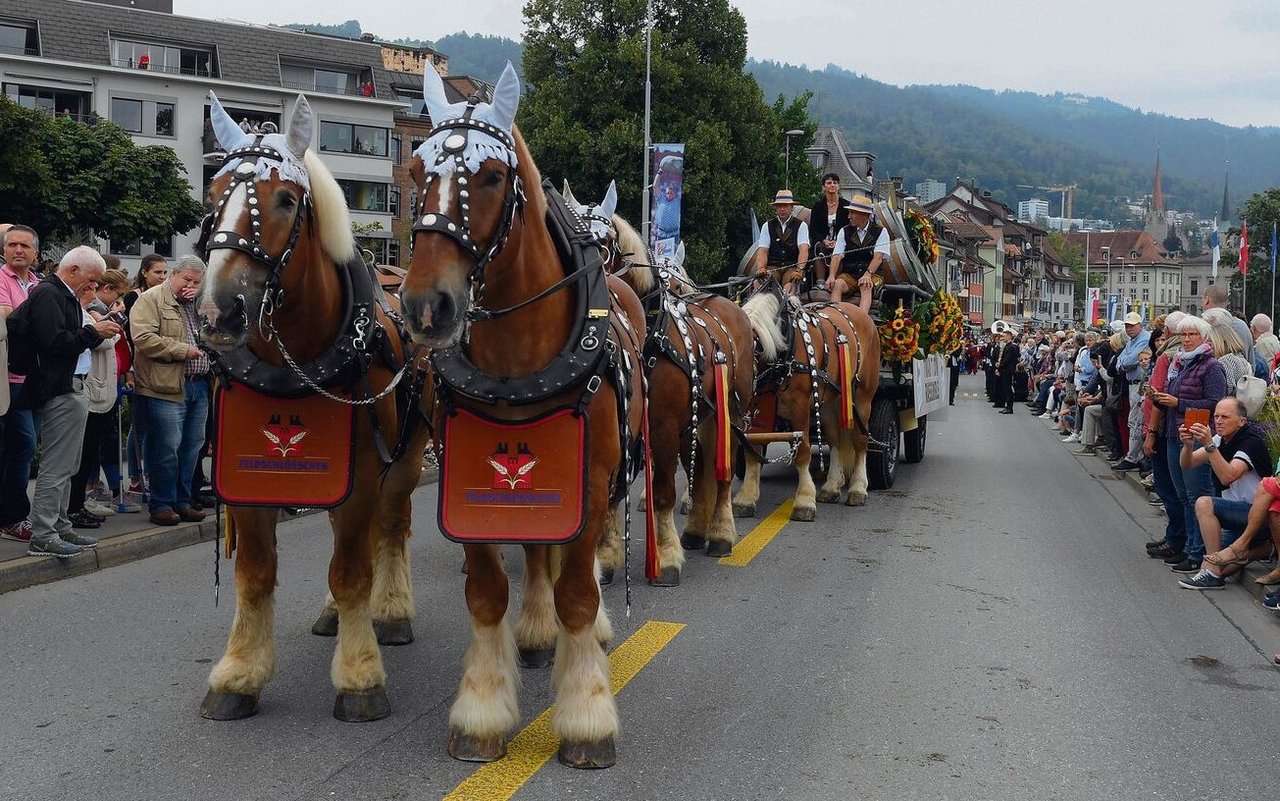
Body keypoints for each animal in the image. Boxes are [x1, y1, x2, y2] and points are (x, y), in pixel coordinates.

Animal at [190, 90, 430, 721]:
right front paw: (239, 674)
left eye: (286, 199)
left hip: (407, 453)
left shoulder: (364, 473)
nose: (218, 311)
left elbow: (351, 570)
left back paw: (391, 611)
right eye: (211, 197)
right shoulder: (248, 477)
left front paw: (360, 676)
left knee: (389, 527)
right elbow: (254, 574)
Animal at [399, 63, 645, 767]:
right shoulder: (468, 479)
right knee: (537, 552)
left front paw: (587, 715)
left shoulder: (587, 479)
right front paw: (481, 710)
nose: (426, 306)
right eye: (416, 169)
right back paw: (535, 634)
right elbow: (486, 593)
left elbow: (579, 593)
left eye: (489, 177)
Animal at [565, 180, 752, 580]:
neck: (649, 333)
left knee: (724, 470)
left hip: (733, 413)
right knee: (702, 466)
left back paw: (720, 533)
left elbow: (663, 491)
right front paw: (606, 557)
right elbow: (612, 492)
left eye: (604, 242)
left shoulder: (663, 424)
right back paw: (696, 530)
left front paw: (665, 556)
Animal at [742, 284, 880, 522]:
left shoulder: (799, 405)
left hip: (863, 397)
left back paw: (858, 489)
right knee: (835, 440)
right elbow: (753, 448)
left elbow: (803, 450)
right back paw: (831, 487)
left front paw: (805, 500)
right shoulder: (756, 406)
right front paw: (746, 498)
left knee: (860, 440)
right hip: (829, 403)